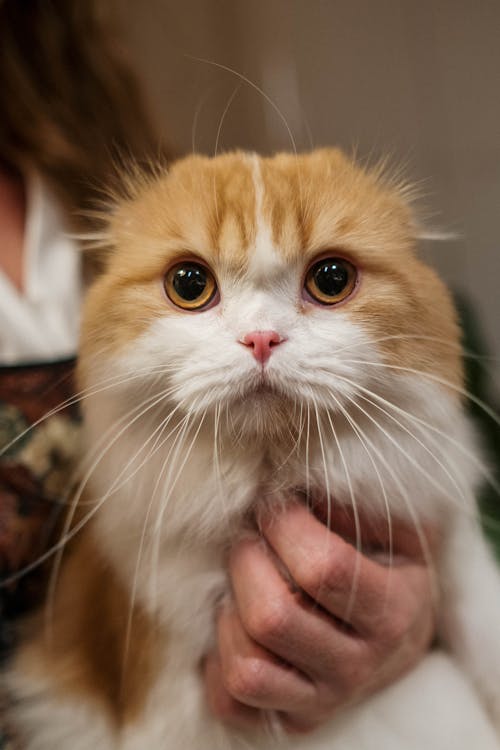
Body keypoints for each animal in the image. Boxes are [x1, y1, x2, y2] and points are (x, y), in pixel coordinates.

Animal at [3, 151, 500, 750]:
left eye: (331, 279)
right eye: (190, 284)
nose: (261, 339)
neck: (266, 485)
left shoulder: (449, 539)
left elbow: (482, 629)